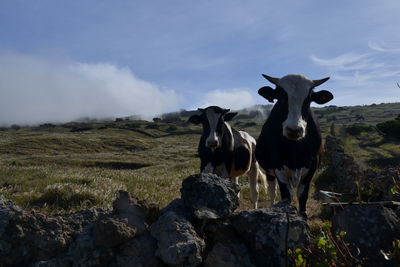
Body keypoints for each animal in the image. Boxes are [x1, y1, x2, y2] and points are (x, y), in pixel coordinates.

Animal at [256, 73, 334, 218]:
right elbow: (286, 197)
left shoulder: (311, 169)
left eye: (308, 100)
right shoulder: (278, 168)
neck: (295, 150)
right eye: (281, 97)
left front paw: (303, 215)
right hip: (269, 171)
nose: (294, 130)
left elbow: (302, 195)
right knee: (272, 190)